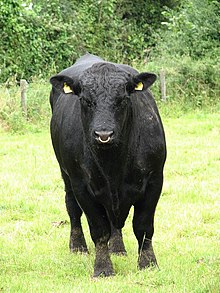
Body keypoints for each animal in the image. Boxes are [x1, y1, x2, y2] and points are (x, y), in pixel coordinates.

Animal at [50, 53, 167, 276]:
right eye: (85, 100)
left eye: (122, 99)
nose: (103, 134)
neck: (114, 166)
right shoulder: (82, 186)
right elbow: (99, 230)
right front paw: (103, 268)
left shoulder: (155, 179)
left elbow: (143, 226)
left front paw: (148, 264)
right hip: (65, 173)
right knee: (72, 207)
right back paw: (78, 246)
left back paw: (118, 248)